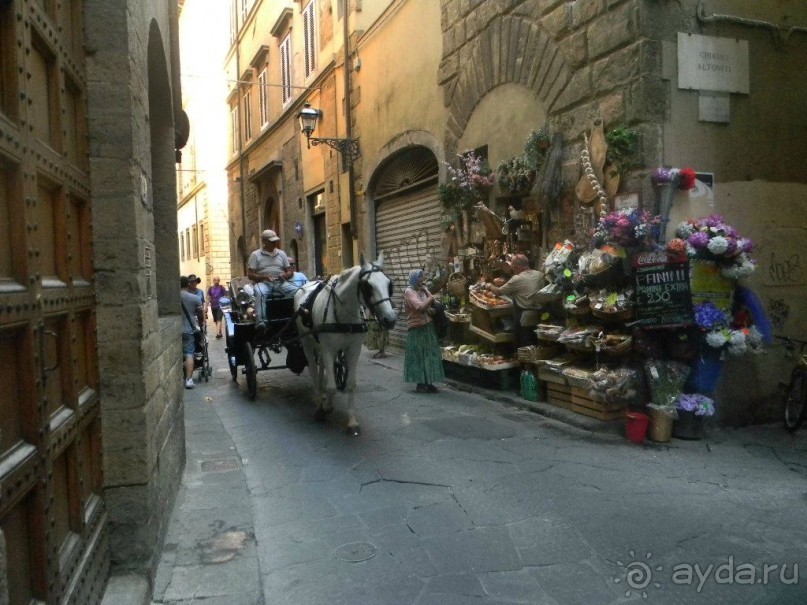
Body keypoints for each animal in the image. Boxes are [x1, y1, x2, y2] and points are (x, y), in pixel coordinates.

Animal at [296, 251, 400, 434]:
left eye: (389, 284)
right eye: (368, 286)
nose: (390, 319)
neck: (342, 312)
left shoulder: (353, 349)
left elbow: (351, 384)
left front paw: (351, 421)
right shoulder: (329, 349)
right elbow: (332, 386)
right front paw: (326, 408)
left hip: (319, 345)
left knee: (321, 367)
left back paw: (322, 393)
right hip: (307, 342)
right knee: (314, 371)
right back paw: (318, 400)